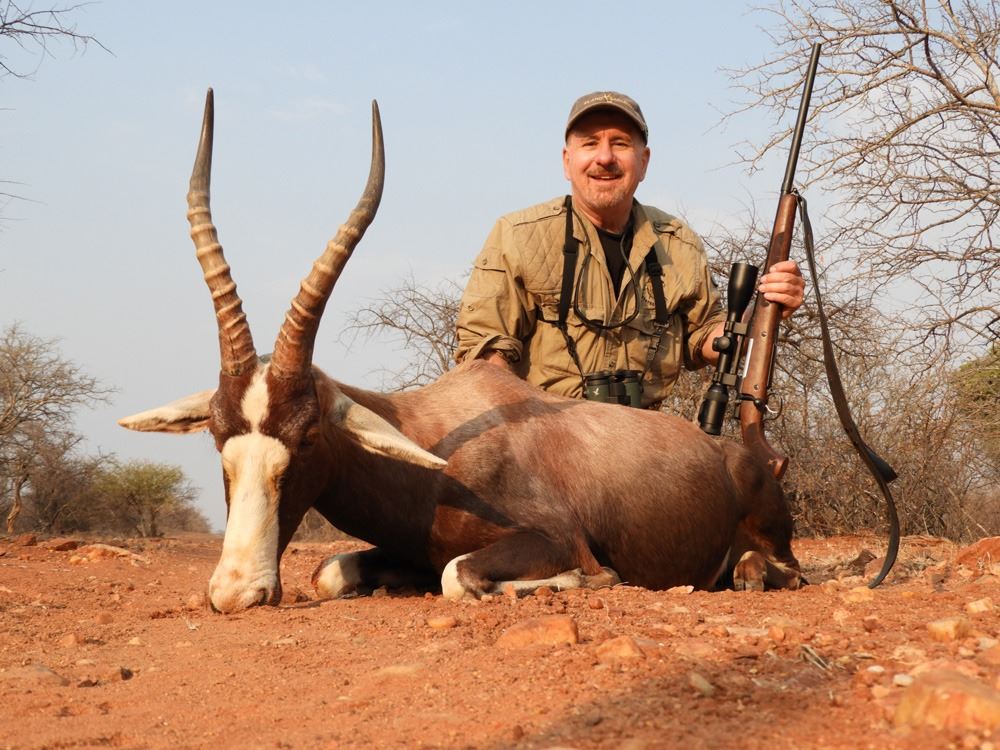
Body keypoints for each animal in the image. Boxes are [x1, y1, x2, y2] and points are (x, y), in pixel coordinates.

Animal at [119, 90, 802, 614]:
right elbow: (334, 571)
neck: (437, 451)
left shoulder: (553, 537)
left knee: (781, 568)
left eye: (308, 435)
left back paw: (747, 572)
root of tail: (741, 455)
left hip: (776, 544)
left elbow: (462, 577)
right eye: (216, 434)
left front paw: (591, 580)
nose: (237, 593)